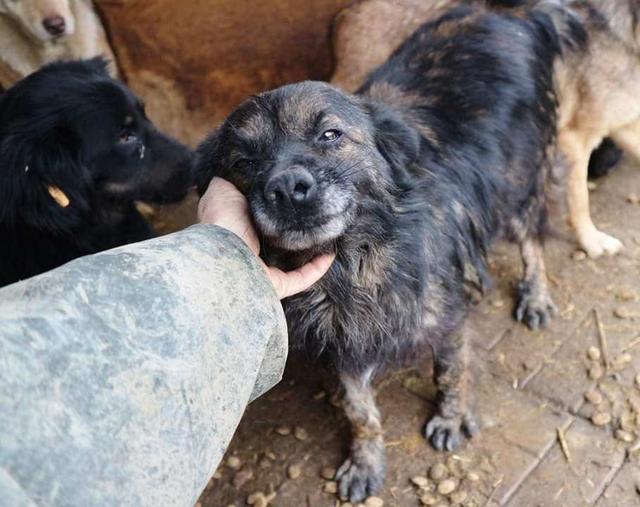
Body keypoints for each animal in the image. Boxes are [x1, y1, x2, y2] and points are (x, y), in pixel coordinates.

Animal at [198, 2, 564, 504]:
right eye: (243, 161)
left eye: (330, 135)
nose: (288, 189)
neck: (354, 262)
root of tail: (503, 14)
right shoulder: (345, 344)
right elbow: (359, 410)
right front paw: (365, 462)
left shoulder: (445, 317)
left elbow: (451, 372)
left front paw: (452, 417)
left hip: (522, 182)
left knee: (534, 243)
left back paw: (537, 296)